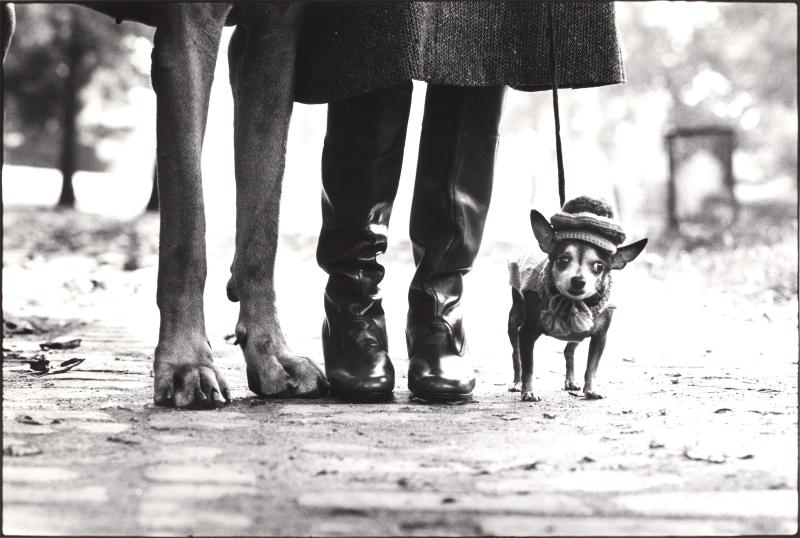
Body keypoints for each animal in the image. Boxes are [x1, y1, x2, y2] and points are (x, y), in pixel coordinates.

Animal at [510, 195, 648, 400]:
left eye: (599, 266)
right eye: (562, 260)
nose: (578, 280)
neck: (572, 304)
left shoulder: (599, 337)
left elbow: (592, 367)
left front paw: (590, 389)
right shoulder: (526, 333)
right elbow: (529, 367)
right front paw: (528, 391)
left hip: (578, 336)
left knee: (569, 351)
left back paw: (570, 381)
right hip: (514, 321)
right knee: (516, 355)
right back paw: (517, 383)